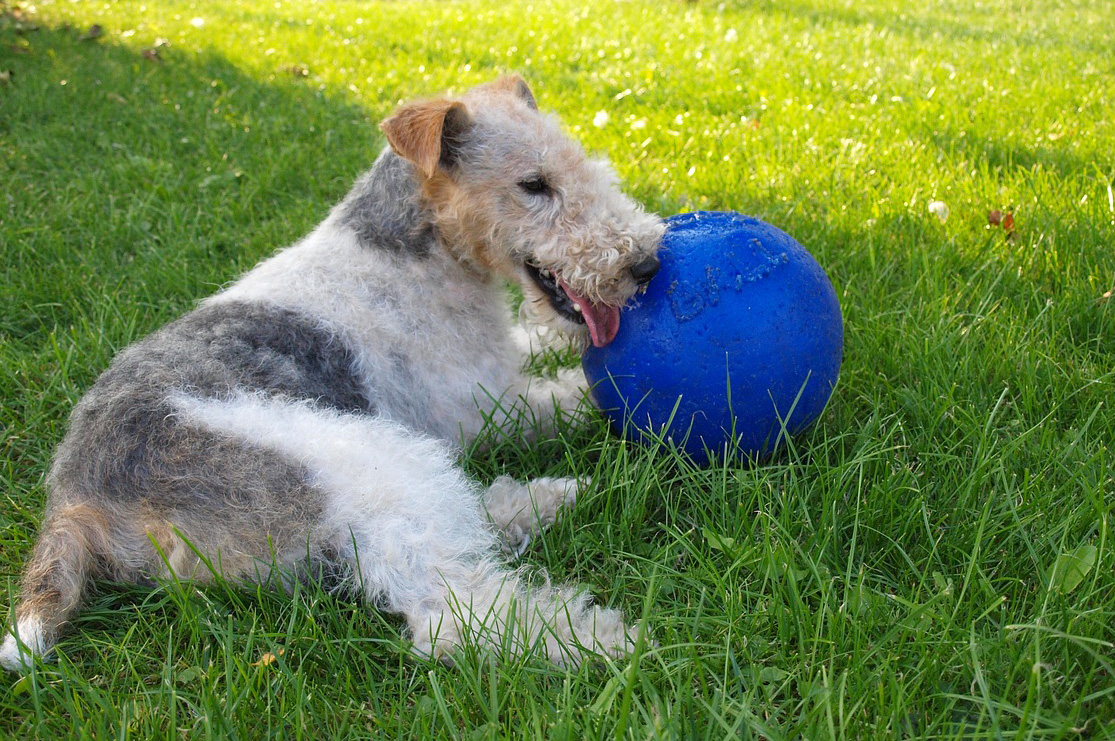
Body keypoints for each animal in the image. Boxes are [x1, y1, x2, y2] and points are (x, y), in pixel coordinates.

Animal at [0, 75, 660, 668]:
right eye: (533, 184)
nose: (646, 264)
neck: (415, 250)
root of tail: (75, 498)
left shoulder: (499, 363)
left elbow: (541, 346)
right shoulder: (485, 406)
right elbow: (578, 394)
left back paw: (548, 500)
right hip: (362, 460)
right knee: (451, 613)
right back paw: (604, 641)